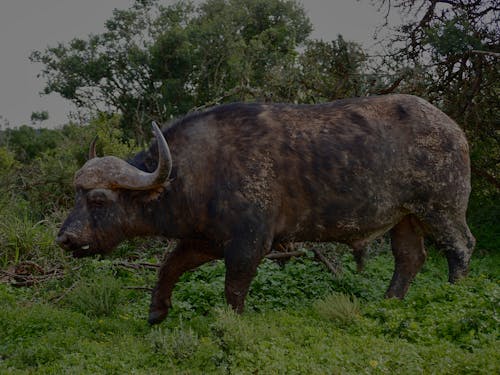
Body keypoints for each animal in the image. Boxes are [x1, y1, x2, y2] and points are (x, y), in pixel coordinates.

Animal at [56, 93, 474, 324]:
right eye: (75, 195)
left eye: (98, 199)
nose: (65, 238)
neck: (198, 170)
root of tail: (454, 129)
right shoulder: (204, 240)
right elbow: (168, 266)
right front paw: (157, 311)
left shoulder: (249, 244)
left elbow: (233, 288)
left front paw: (232, 323)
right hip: (405, 217)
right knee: (410, 258)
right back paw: (388, 303)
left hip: (442, 209)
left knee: (460, 248)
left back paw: (454, 296)